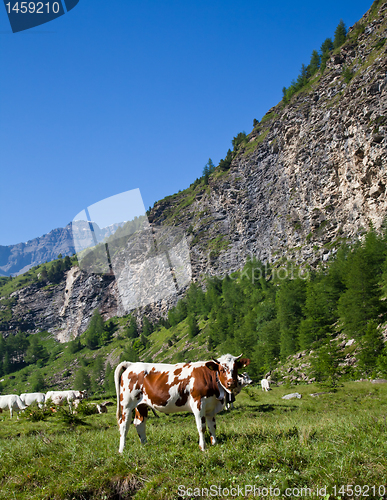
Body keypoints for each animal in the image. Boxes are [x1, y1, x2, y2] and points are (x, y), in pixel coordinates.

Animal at [114, 352, 252, 454]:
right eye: (221, 369)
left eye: (235, 368)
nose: (231, 383)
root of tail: (131, 364)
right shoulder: (198, 404)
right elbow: (201, 427)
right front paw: (203, 447)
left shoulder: (211, 407)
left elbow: (212, 426)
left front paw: (215, 443)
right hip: (127, 404)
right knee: (124, 425)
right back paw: (122, 450)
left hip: (141, 405)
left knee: (139, 423)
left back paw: (144, 445)